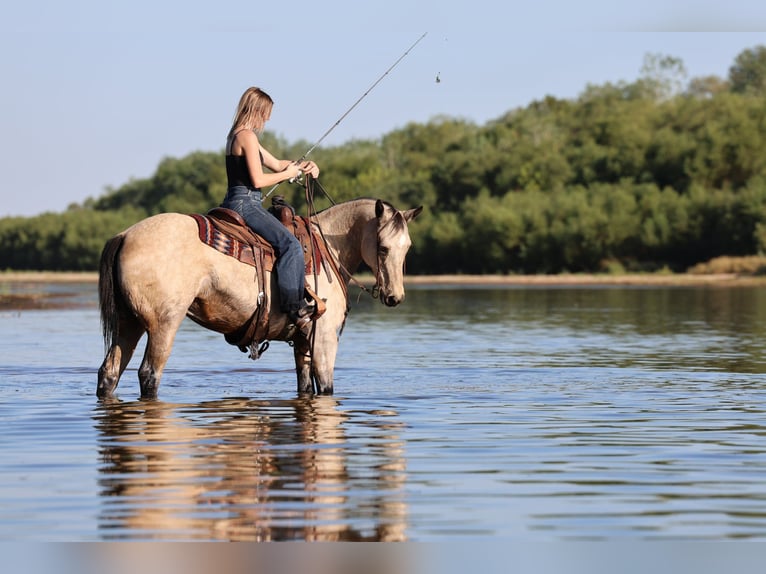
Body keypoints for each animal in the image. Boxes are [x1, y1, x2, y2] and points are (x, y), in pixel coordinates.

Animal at [96, 198, 422, 399]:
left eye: (407, 247)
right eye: (382, 248)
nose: (395, 297)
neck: (328, 249)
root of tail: (124, 235)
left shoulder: (303, 341)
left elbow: (306, 386)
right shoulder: (324, 338)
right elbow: (326, 388)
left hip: (129, 324)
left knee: (109, 372)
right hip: (163, 325)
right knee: (149, 375)